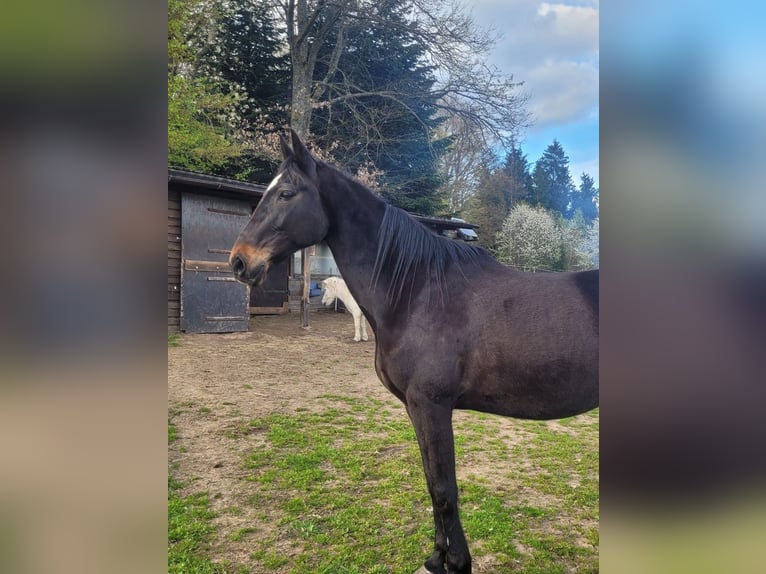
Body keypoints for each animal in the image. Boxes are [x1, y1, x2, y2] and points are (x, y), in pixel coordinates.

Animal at [228, 132, 600, 574]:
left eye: (286, 193)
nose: (239, 261)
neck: (418, 291)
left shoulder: (431, 405)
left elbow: (443, 488)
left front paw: (457, 561)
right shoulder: (415, 408)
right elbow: (430, 482)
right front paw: (437, 557)